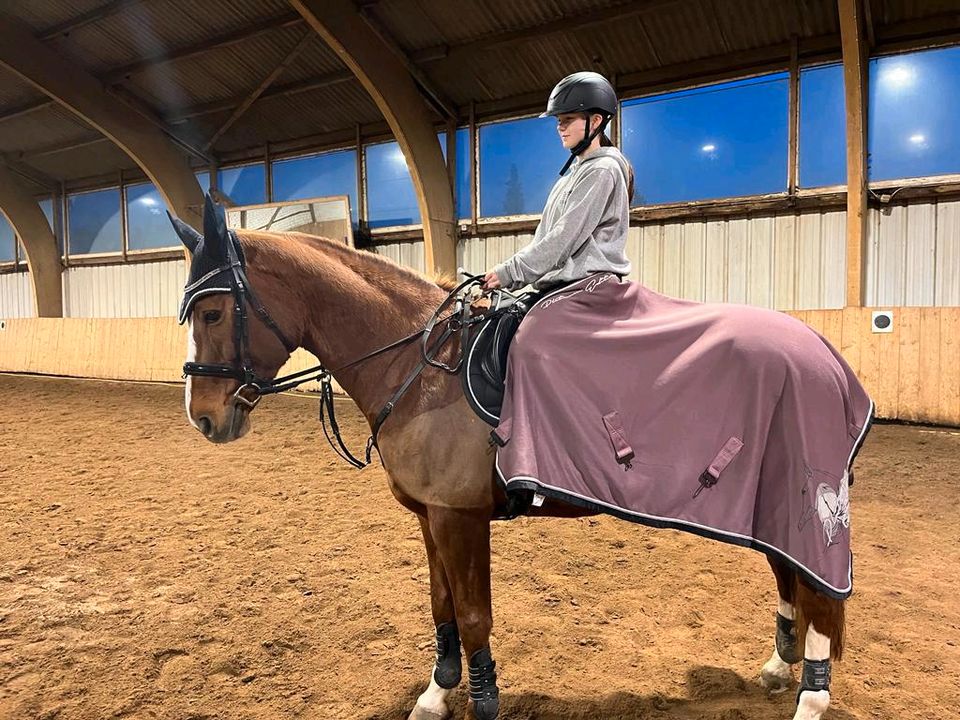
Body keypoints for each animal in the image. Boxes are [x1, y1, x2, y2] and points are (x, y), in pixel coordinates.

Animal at [176, 204, 844, 720]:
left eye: (212, 312)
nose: (204, 417)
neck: (422, 370)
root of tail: (821, 352)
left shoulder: (460, 517)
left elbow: (474, 615)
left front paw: (482, 700)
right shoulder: (430, 516)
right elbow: (442, 605)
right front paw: (437, 694)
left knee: (819, 590)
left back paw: (811, 698)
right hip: (768, 503)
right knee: (789, 575)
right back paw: (780, 667)